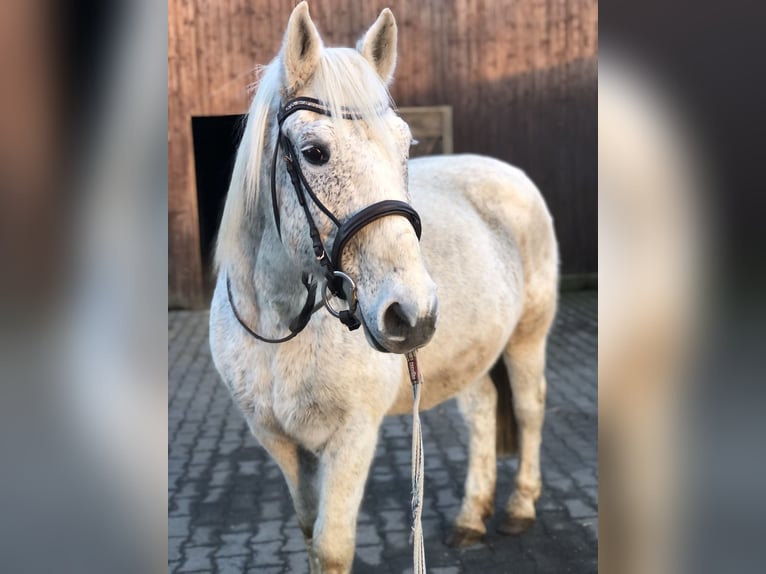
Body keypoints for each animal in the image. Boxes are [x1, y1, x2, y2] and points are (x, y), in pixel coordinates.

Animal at [210, 3, 560, 572]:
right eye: (314, 152)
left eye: (405, 146)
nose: (412, 314)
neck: (281, 325)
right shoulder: (280, 443)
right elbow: (309, 533)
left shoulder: (352, 436)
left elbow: (331, 547)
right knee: (483, 410)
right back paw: (471, 517)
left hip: (528, 337)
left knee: (529, 409)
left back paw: (520, 506)